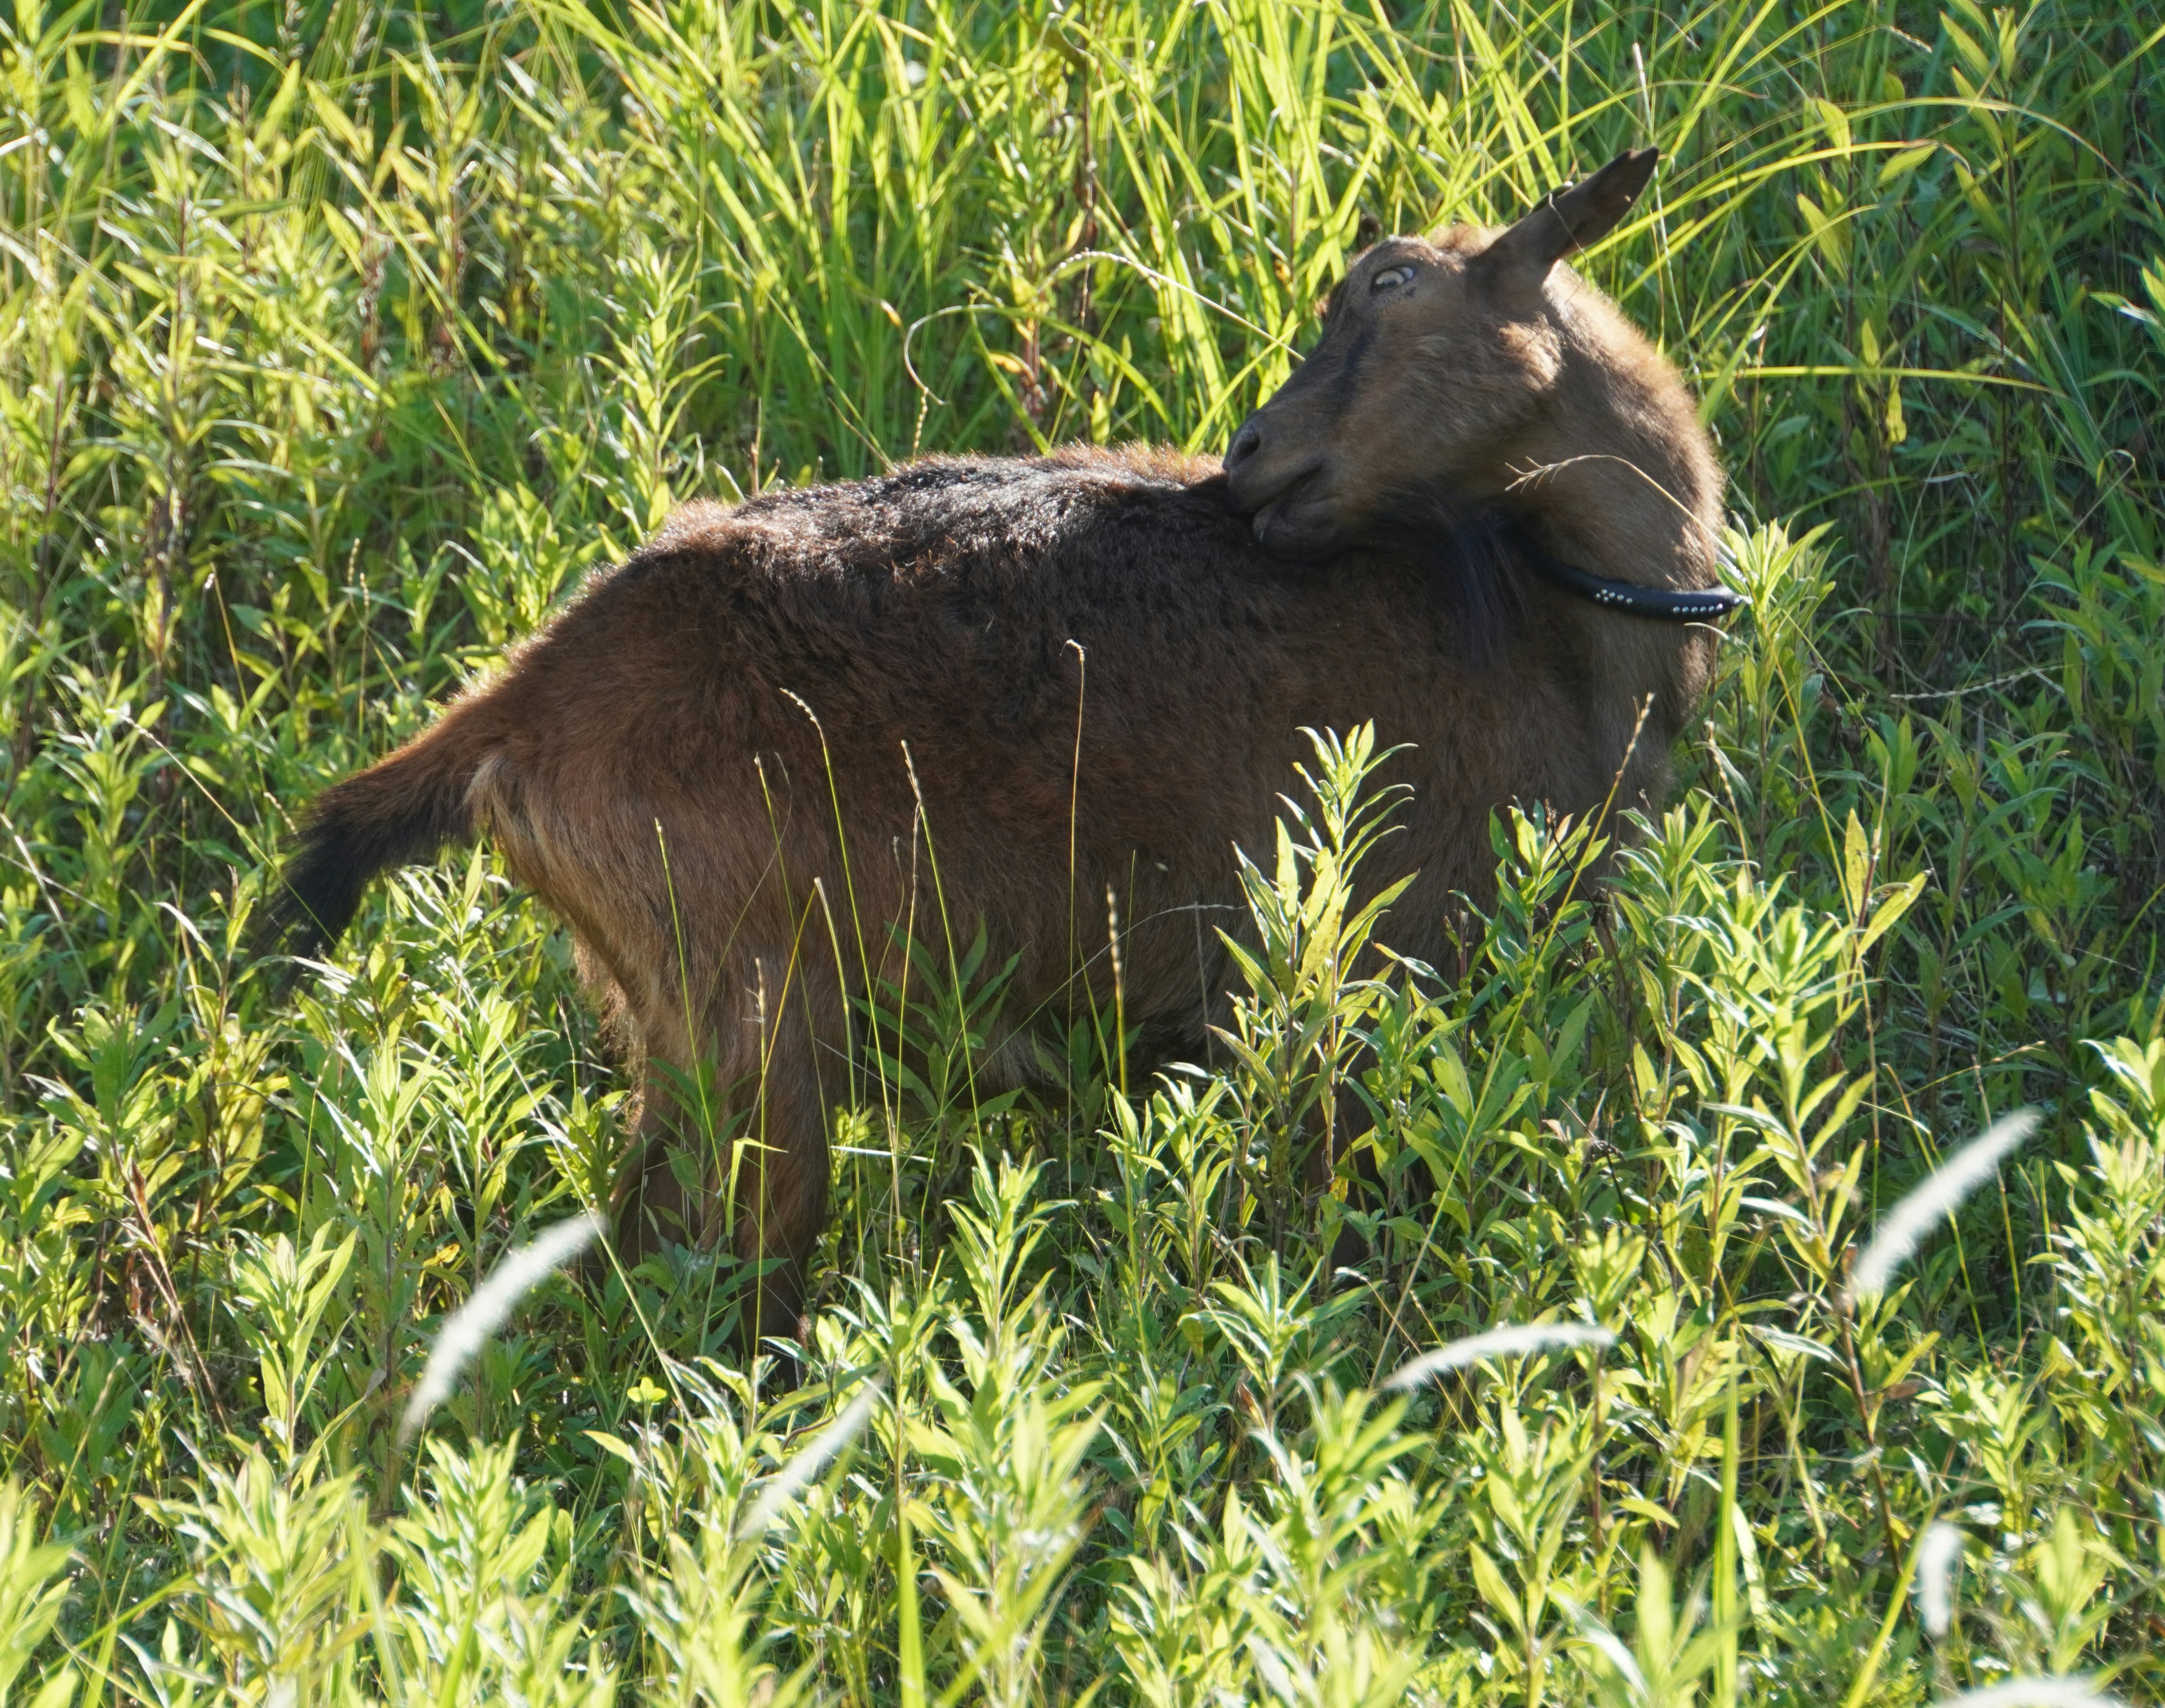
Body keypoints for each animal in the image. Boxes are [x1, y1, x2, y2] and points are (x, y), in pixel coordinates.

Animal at [271, 146, 1732, 1342]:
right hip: (753, 1031)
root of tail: (521, 707)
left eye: (1391, 282)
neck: (1555, 624)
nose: (1248, 455)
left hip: (675, 1028)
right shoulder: (1364, 980)